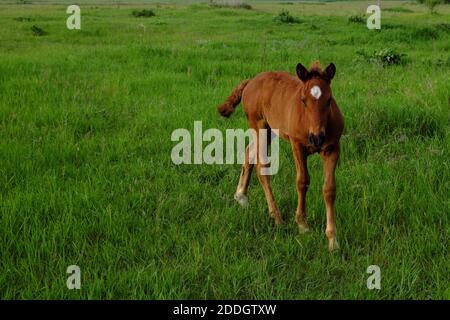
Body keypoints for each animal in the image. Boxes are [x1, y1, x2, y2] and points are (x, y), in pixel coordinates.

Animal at [218, 60, 344, 250]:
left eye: (329, 100)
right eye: (303, 100)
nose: (317, 138)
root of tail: (250, 81)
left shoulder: (332, 148)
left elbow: (329, 189)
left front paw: (332, 240)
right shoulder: (297, 145)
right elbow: (302, 181)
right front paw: (302, 225)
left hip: (270, 131)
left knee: (249, 152)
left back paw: (241, 197)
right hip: (259, 126)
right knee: (262, 168)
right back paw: (276, 217)